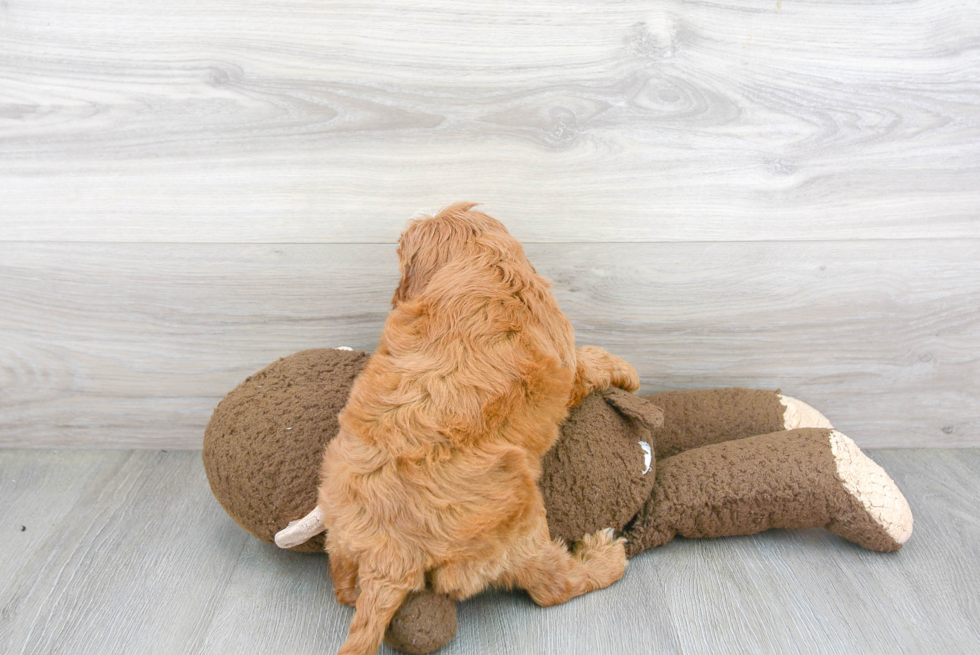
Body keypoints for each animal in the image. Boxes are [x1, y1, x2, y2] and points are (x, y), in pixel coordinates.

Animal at [318, 202, 636, 652]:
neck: (482, 260)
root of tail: (390, 557)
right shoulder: (564, 352)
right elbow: (589, 363)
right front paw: (625, 371)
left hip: (340, 522)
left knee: (343, 587)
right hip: (521, 524)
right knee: (552, 587)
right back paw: (603, 556)